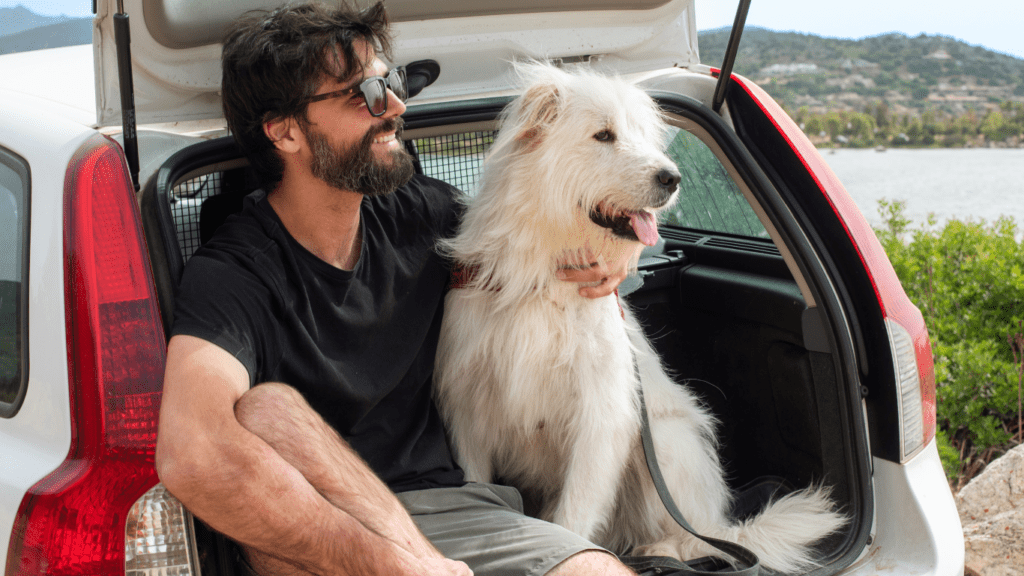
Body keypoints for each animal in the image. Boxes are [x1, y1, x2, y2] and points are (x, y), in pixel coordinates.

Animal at [432, 63, 847, 569]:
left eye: (643, 136)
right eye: (603, 135)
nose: (672, 178)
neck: (546, 273)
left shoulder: (602, 411)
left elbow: (574, 515)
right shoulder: (470, 408)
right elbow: (482, 486)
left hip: (665, 444)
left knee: (696, 539)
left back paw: (661, 548)